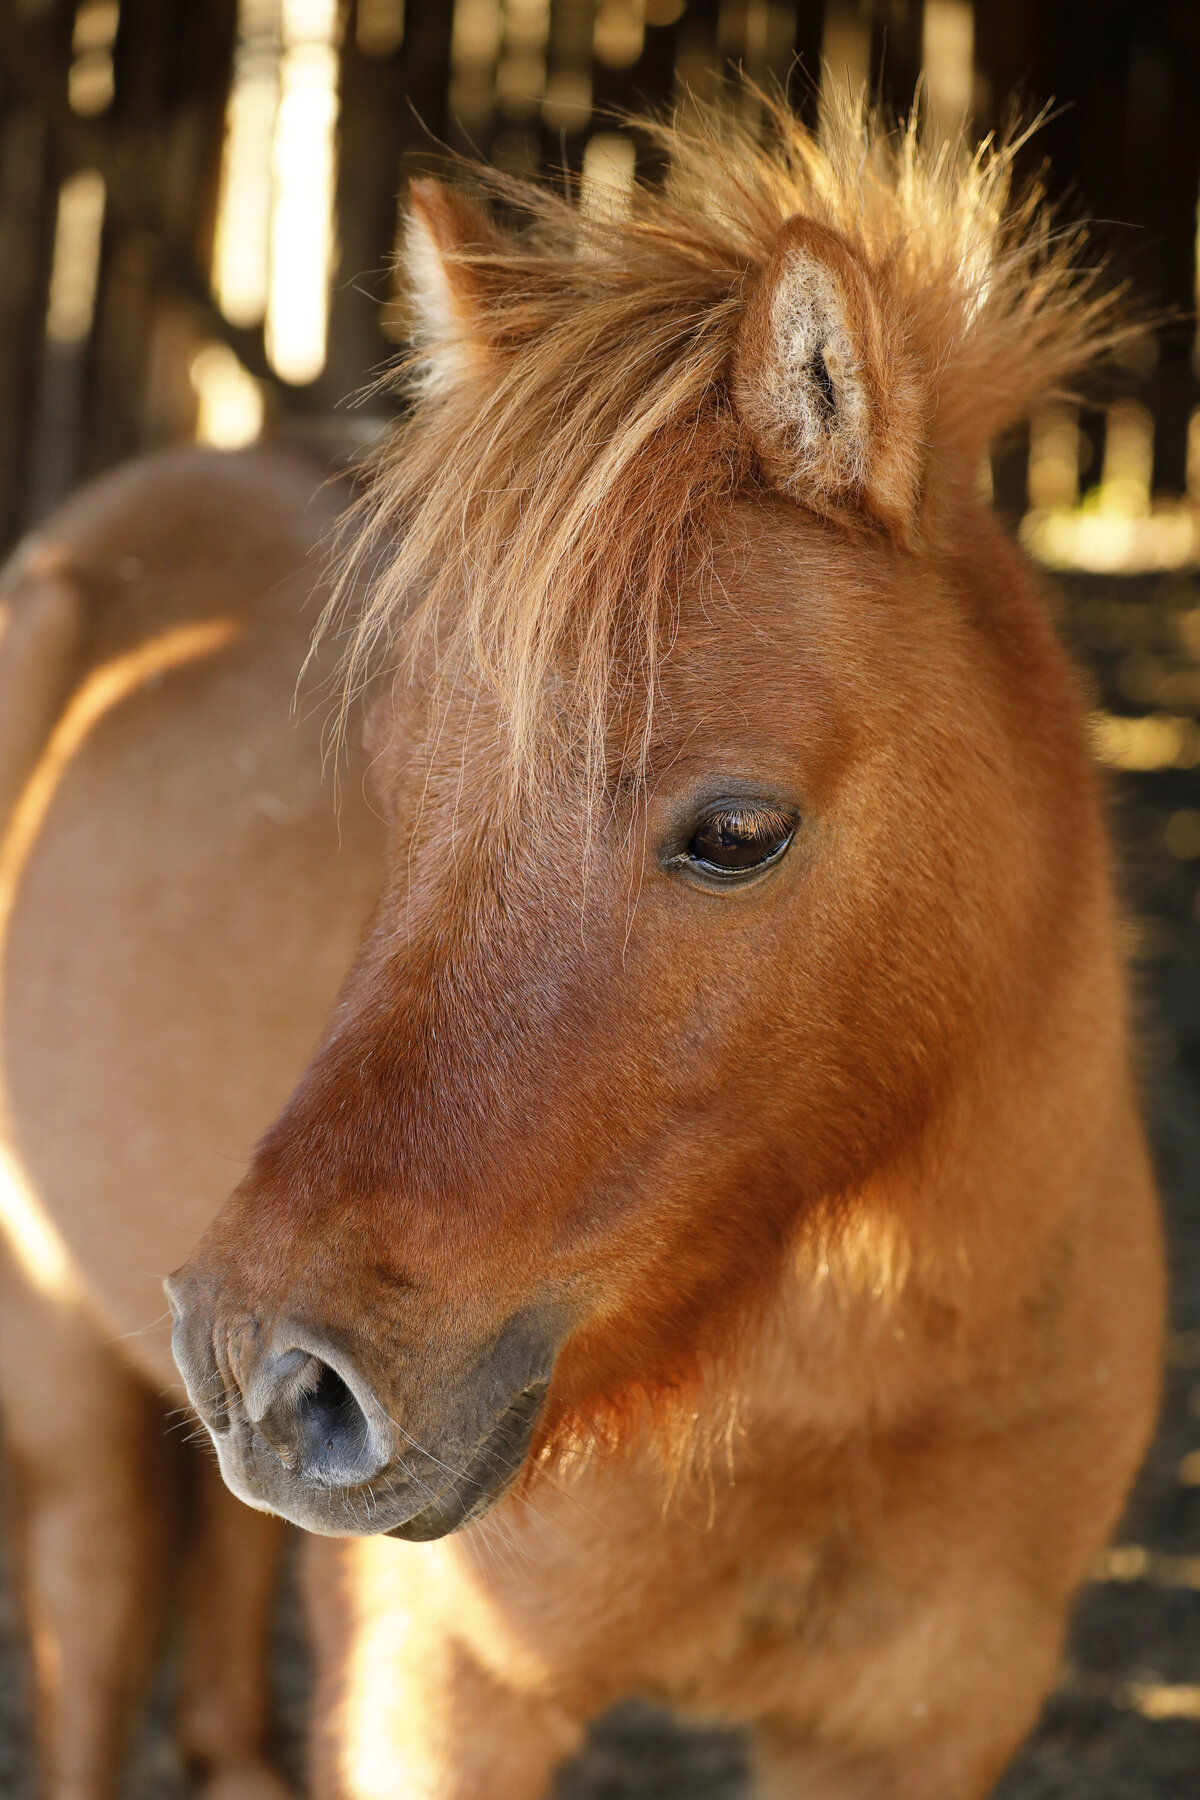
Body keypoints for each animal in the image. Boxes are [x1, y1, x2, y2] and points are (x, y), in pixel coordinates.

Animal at [0, 94, 1165, 1800]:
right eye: (399, 779)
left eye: (737, 831)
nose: (272, 1376)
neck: (829, 1398)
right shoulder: (440, 1697)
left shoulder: (918, 1732)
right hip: (63, 1375)